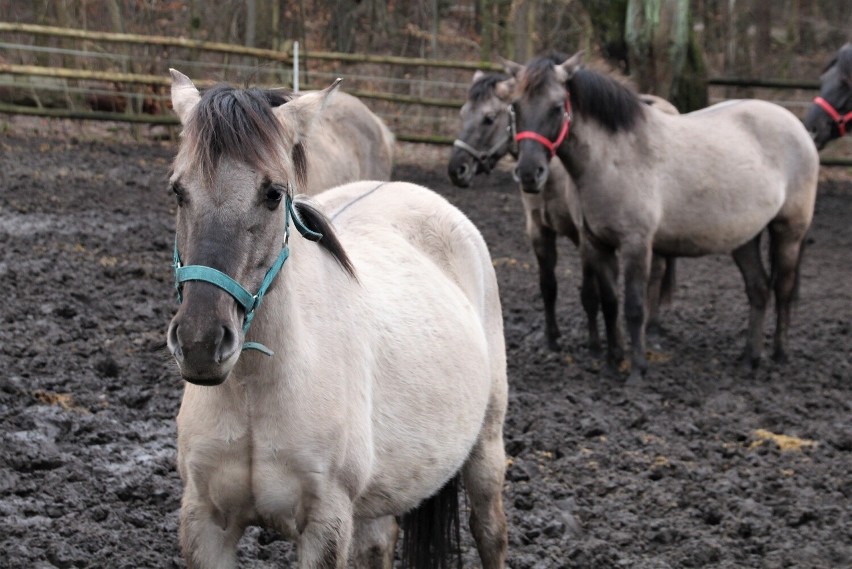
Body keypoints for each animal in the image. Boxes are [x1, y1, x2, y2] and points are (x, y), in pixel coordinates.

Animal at [170, 71, 510, 568]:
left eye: (273, 195)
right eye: (178, 190)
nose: (200, 342)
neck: (256, 391)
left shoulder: (325, 525)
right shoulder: (205, 523)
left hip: (486, 443)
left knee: (489, 531)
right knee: (379, 542)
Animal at [446, 70, 680, 356]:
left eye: (488, 118)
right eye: (463, 113)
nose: (456, 169)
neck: (554, 170)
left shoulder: (584, 236)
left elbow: (590, 293)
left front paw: (595, 344)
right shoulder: (539, 229)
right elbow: (549, 286)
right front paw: (552, 338)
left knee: (657, 270)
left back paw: (652, 326)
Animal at [506, 53, 820, 384]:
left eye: (556, 107)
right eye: (515, 106)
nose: (529, 173)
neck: (612, 158)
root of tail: (798, 127)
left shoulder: (636, 245)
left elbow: (634, 307)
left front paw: (637, 371)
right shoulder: (596, 244)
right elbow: (609, 303)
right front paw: (612, 362)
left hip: (789, 231)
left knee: (782, 289)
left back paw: (779, 355)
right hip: (745, 238)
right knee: (758, 289)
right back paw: (750, 359)